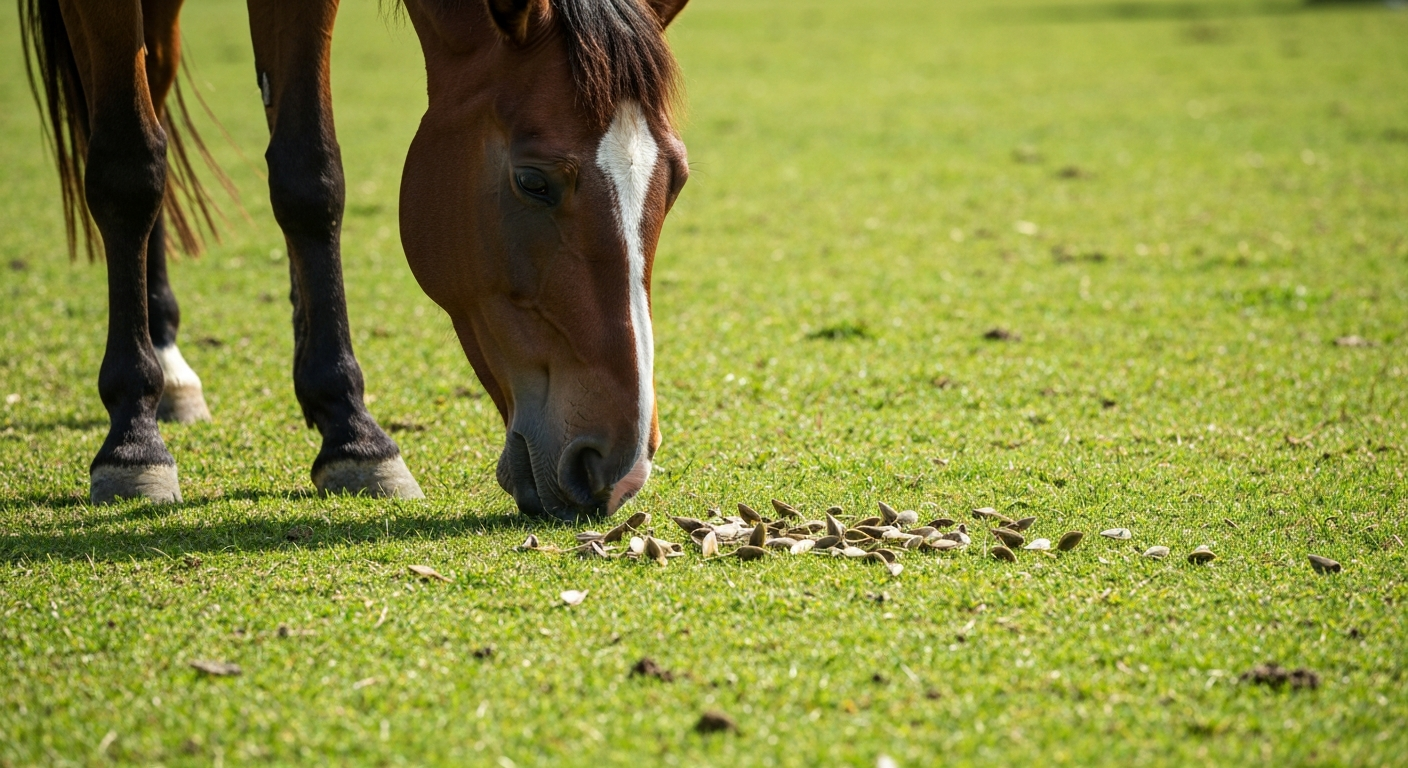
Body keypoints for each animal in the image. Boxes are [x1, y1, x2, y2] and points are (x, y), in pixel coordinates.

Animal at [18, 0, 690, 521]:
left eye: (678, 179)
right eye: (533, 181)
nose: (622, 467)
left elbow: (309, 175)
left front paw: (351, 433)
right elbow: (129, 170)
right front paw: (132, 443)